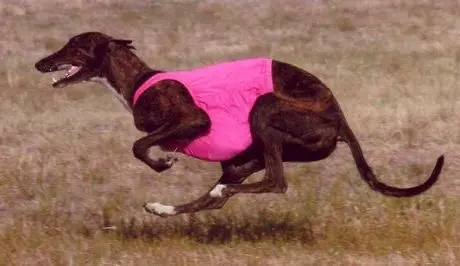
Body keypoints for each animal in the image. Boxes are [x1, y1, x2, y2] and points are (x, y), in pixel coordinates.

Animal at [34, 32, 444, 217]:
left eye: (73, 46)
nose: (39, 63)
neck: (136, 81)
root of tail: (340, 120)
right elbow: (145, 144)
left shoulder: (193, 118)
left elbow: (140, 144)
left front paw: (162, 162)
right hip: (245, 158)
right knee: (217, 198)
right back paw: (166, 208)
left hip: (265, 110)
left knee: (275, 183)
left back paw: (216, 192)